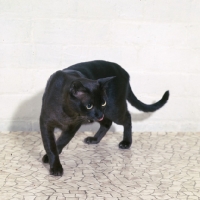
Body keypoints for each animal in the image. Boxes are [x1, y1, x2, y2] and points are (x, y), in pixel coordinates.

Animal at [39, 60, 170, 176]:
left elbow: (61, 141)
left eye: (103, 103)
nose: (99, 114)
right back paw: (94, 139)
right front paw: (54, 164)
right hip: (108, 114)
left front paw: (54, 165)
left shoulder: (73, 127)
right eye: (89, 105)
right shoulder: (46, 124)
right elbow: (50, 145)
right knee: (107, 123)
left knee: (127, 118)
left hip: (114, 111)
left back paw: (126, 143)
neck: (68, 113)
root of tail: (124, 71)